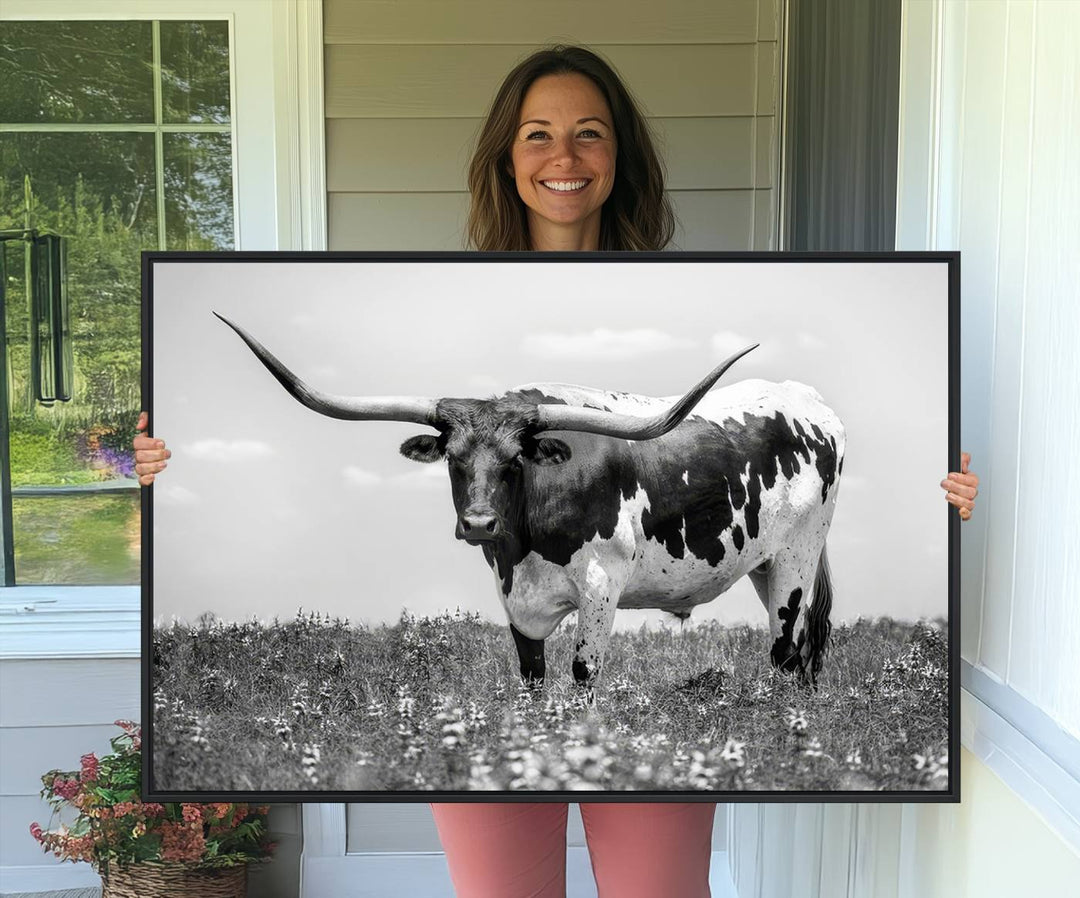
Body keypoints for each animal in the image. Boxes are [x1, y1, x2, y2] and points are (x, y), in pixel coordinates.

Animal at [217, 313, 842, 687]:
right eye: (453, 458)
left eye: (515, 460)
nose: (477, 523)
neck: (524, 542)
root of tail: (807, 400)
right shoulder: (513, 596)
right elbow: (532, 678)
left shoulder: (601, 586)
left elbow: (583, 675)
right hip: (762, 564)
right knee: (801, 657)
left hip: (796, 559)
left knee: (786, 653)